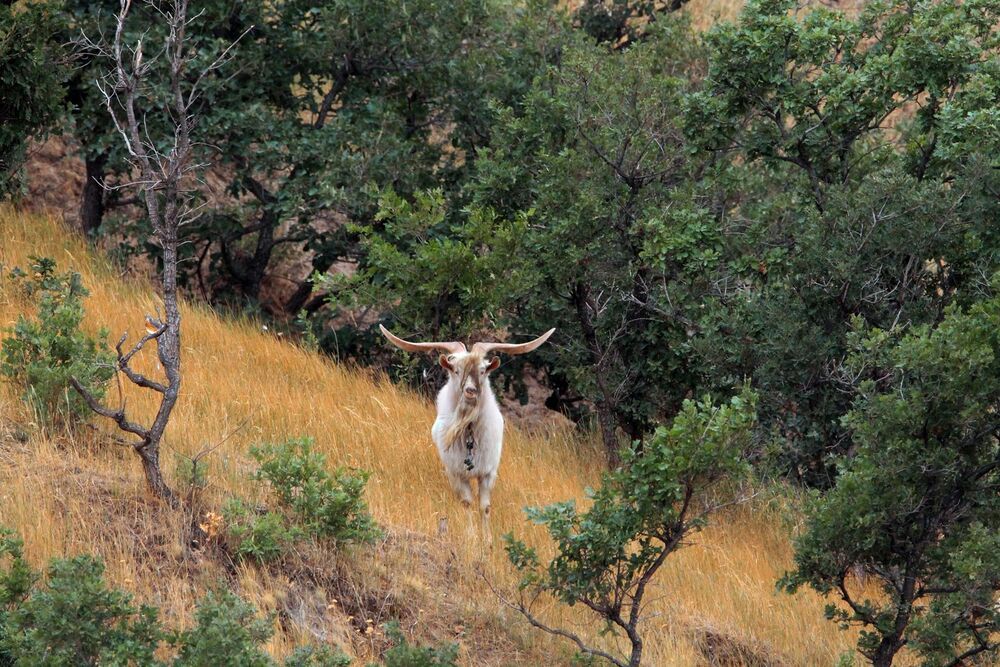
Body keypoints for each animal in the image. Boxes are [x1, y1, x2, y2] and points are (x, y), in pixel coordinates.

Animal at [379, 324, 555, 543]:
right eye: (456, 370)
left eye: (483, 370)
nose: (471, 391)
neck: (470, 431)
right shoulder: (456, 473)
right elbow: (467, 502)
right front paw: (472, 537)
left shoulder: (488, 472)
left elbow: (485, 506)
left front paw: (487, 540)